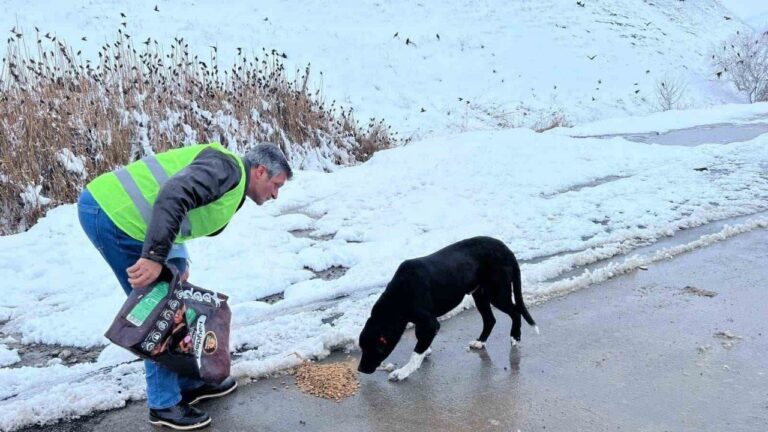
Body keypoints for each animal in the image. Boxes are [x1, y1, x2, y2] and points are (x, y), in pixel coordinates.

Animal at [358, 235, 536, 380]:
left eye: (374, 349)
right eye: (361, 348)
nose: (360, 369)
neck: (397, 299)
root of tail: (507, 250)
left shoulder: (430, 323)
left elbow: (416, 353)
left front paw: (403, 372)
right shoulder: (423, 323)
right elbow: (420, 342)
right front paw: (425, 350)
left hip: (497, 294)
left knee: (515, 312)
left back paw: (515, 337)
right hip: (480, 295)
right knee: (490, 320)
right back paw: (480, 342)